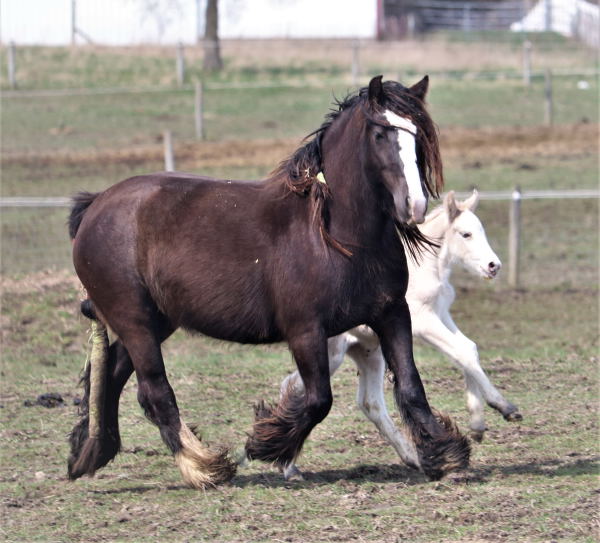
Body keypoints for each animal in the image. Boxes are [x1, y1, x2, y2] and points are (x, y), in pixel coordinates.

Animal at [67, 75, 470, 489]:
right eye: (379, 133)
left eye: (417, 134)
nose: (414, 205)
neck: (337, 236)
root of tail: (95, 205)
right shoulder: (306, 330)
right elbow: (318, 399)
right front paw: (267, 444)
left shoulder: (392, 314)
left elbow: (410, 386)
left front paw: (443, 454)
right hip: (134, 320)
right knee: (154, 390)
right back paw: (203, 466)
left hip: (157, 320)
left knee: (112, 372)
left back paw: (89, 453)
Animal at [280, 190, 521, 479]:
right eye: (465, 234)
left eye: (481, 230)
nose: (493, 265)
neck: (426, 267)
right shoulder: (422, 321)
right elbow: (462, 351)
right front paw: (504, 407)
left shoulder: (441, 313)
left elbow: (466, 349)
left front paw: (477, 423)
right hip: (331, 353)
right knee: (293, 386)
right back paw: (288, 466)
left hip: (368, 353)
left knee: (367, 402)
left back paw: (410, 456)